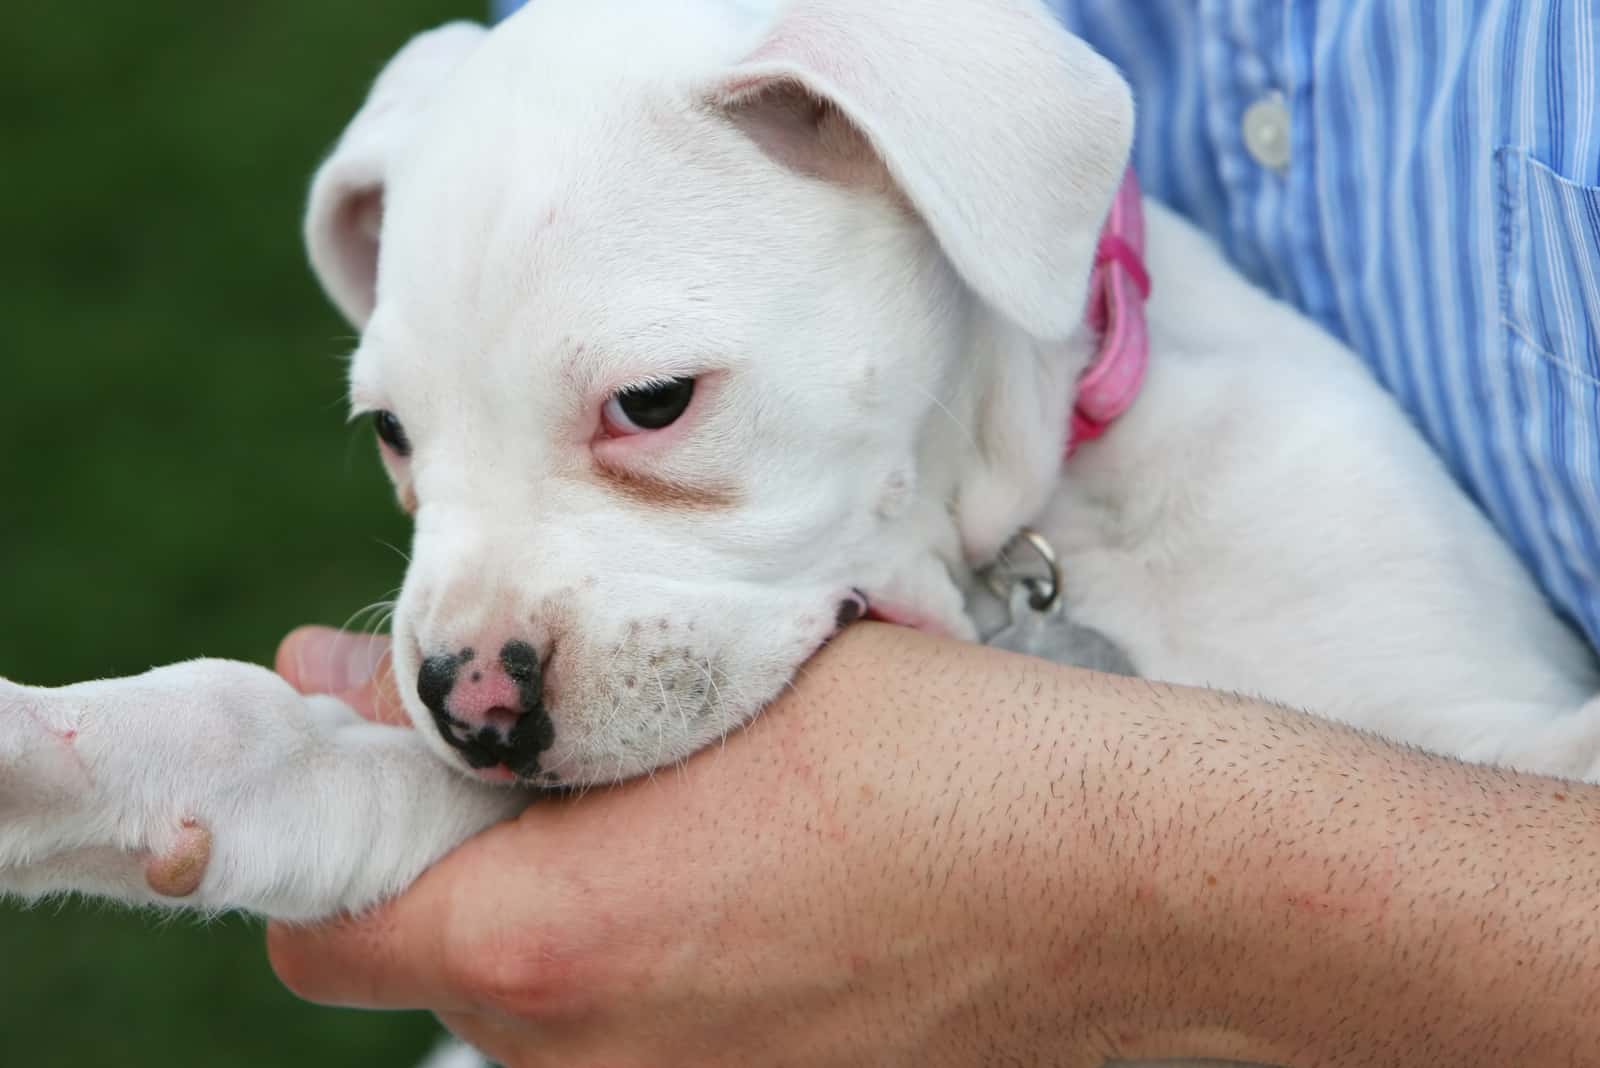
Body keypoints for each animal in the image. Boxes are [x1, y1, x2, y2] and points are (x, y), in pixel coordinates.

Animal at [3, 0, 1600, 940]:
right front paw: (66, 751)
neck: (1014, 564)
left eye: (652, 404)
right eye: (394, 435)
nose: (468, 707)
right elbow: (274, 748)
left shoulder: (1474, 711)